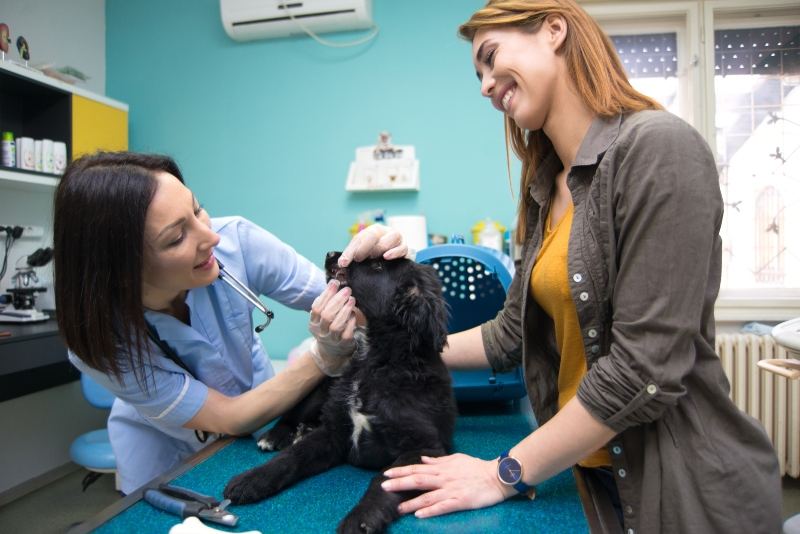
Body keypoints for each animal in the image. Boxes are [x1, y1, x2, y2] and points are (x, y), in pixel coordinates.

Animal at [223, 254, 456, 534]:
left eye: (378, 266)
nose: (331, 254)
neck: (375, 360)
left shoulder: (424, 448)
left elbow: (384, 481)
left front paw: (361, 518)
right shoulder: (334, 431)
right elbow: (291, 456)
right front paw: (252, 479)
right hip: (322, 389)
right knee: (294, 413)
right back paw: (277, 435)